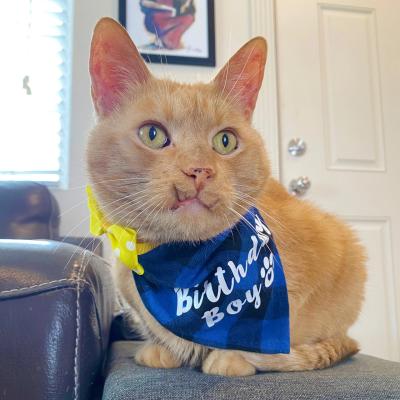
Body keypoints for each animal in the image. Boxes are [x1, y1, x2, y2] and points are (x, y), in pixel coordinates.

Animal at [86, 18, 366, 376]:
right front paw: (161, 350)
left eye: (225, 141)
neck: (183, 266)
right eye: (152, 134)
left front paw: (233, 358)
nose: (199, 170)